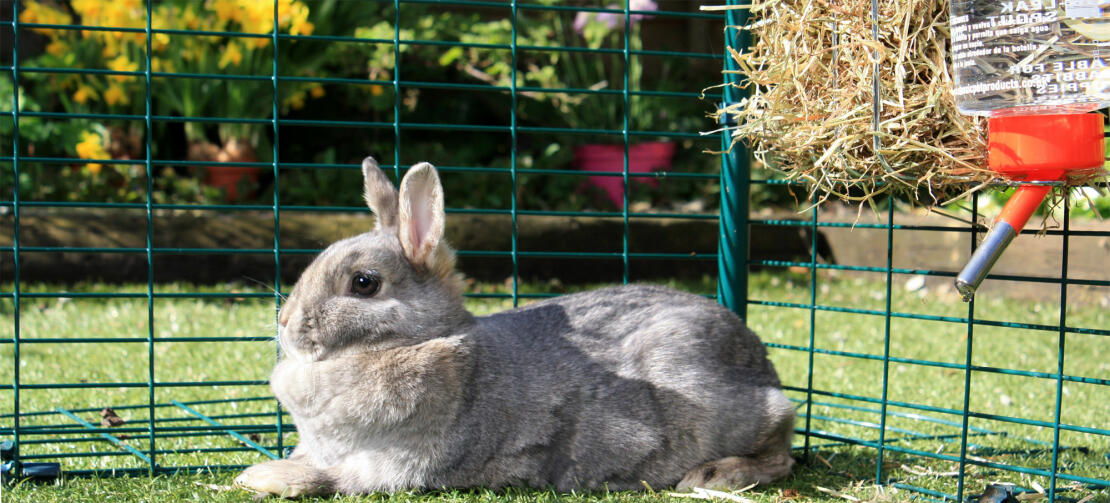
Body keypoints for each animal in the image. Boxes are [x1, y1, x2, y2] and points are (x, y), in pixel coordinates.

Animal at [234, 158, 794, 495]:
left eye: (364, 284)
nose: (285, 324)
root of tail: (761, 366)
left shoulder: (402, 465)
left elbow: (332, 477)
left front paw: (261, 477)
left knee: (781, 446)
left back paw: (716, 473)